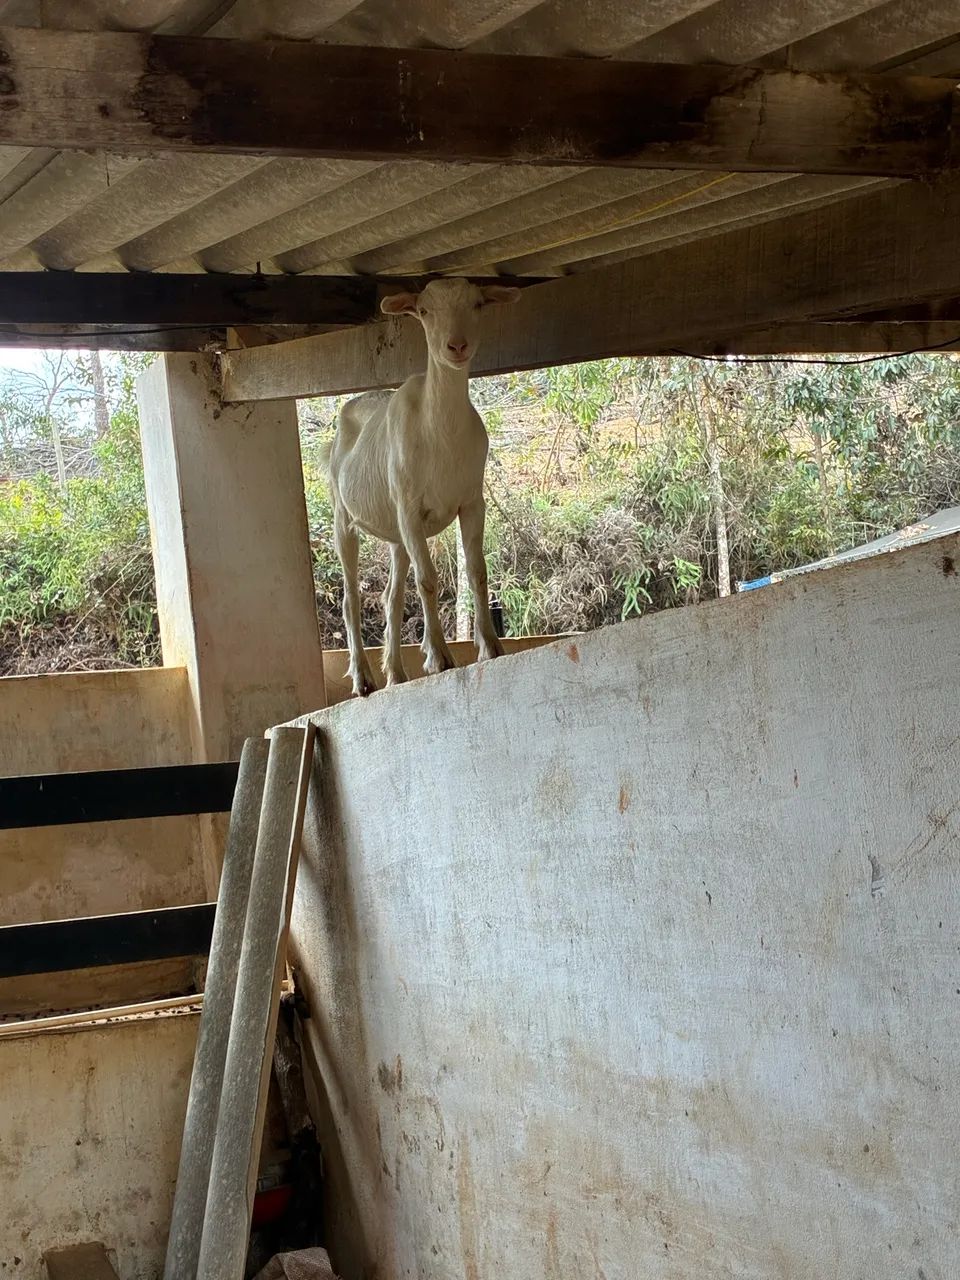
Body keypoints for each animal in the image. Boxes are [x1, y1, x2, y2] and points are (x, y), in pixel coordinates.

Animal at [322, 278, 521, 697]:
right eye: (425, 311)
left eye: (478, 304)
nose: (456, 346)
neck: (440, 435)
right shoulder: (410, 508)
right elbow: (427, 579)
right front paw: (440, 658)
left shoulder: (471, 501)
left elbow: (476, 571)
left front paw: (490, 647)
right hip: (343, 516)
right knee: (351, 597)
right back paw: (363, 678)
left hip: (395, 533)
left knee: (391, 597)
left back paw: (396, 673)